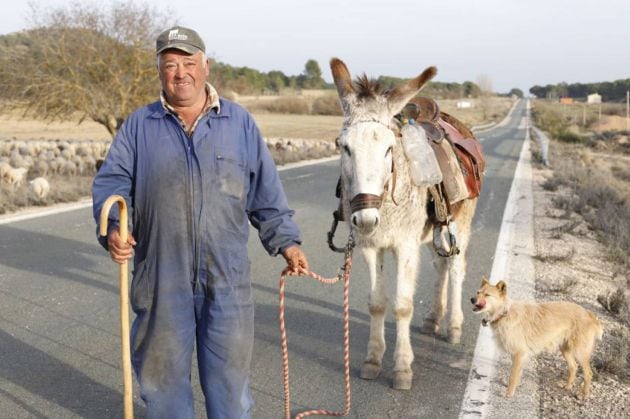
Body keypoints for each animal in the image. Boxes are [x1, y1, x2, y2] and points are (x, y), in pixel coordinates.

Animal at [472, 278, 604, 400]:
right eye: (478, 292)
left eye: (487, 295)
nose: (472, 299)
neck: (504, 313)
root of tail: (589, 314)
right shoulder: (518, 356)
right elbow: (516, 375)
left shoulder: (519, 354)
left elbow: (513, 376)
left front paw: (509, 393)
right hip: (565, 349)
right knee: (573, 367)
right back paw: (568, 386)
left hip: (580, 352)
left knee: (588, 373)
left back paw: (584, 394)